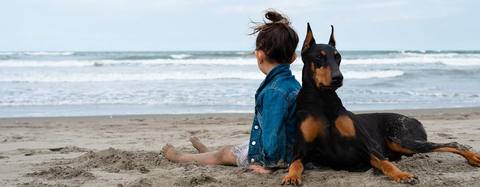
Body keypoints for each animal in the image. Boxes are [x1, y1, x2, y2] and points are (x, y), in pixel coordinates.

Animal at [282, 23, 480, 184]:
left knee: (453, 143)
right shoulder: (301, 150)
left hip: (401, 139)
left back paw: (473, 157)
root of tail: (413, 119)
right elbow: (295, 163)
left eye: (338, 57)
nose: (338, 78)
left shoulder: (368, 145)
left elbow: (385, 163)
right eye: (319, 57)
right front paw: (290, 176)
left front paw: (402, 175)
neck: (323, 100)